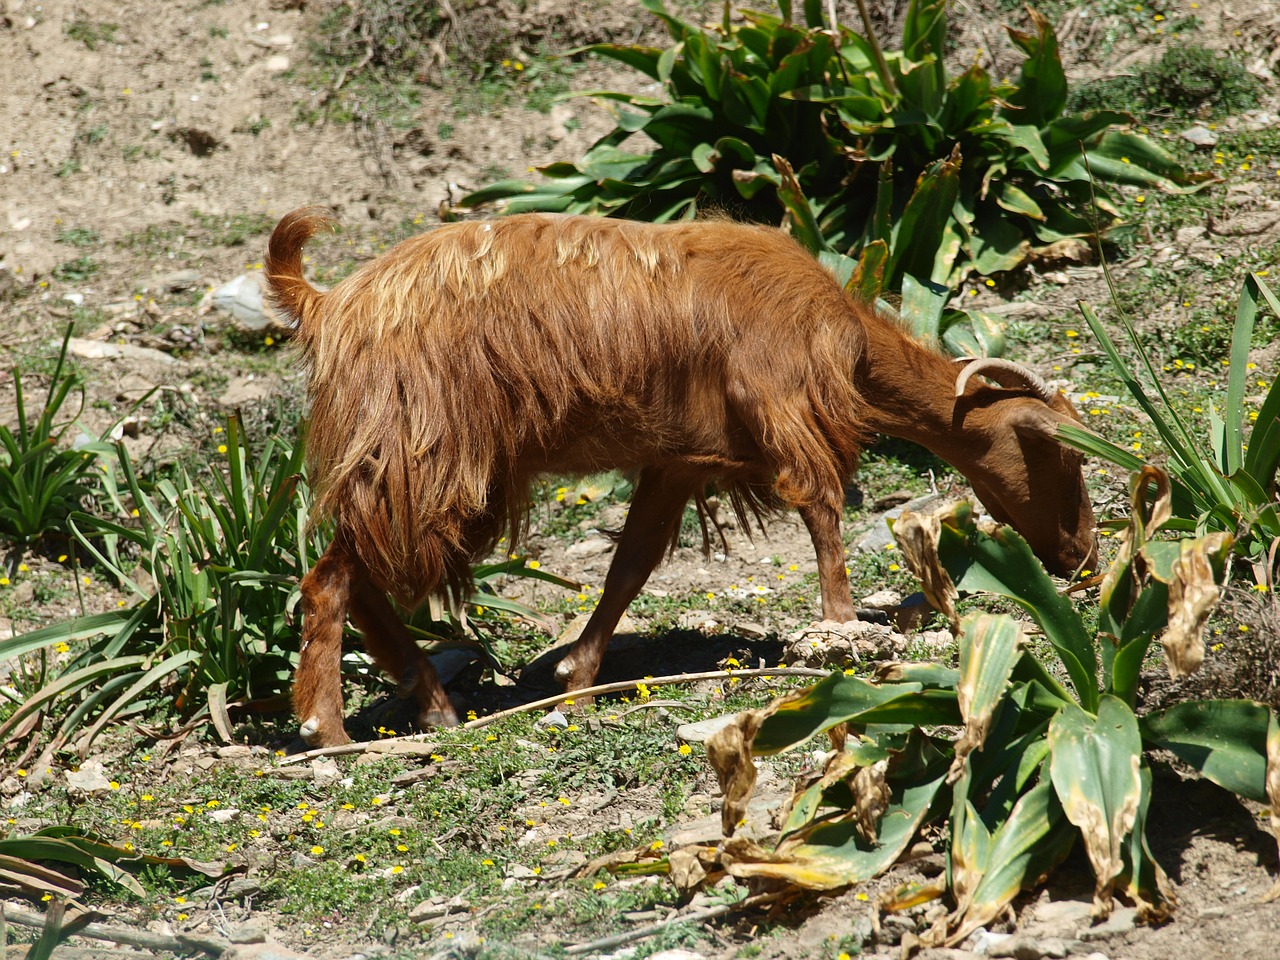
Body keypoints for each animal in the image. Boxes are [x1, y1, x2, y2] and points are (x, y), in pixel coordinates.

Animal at [264, 208, 1095, 752]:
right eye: (1059, 451)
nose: (1080, 555)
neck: (846, 340)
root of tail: (328, 304)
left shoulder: (681, 458)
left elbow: (630, 567)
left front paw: (580, 679)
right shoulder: (781, 409)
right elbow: (824, 510)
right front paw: (840, 627)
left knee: (356, 578)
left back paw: (430, 703)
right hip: (421, 463)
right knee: (330, 579)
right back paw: (331, 731)